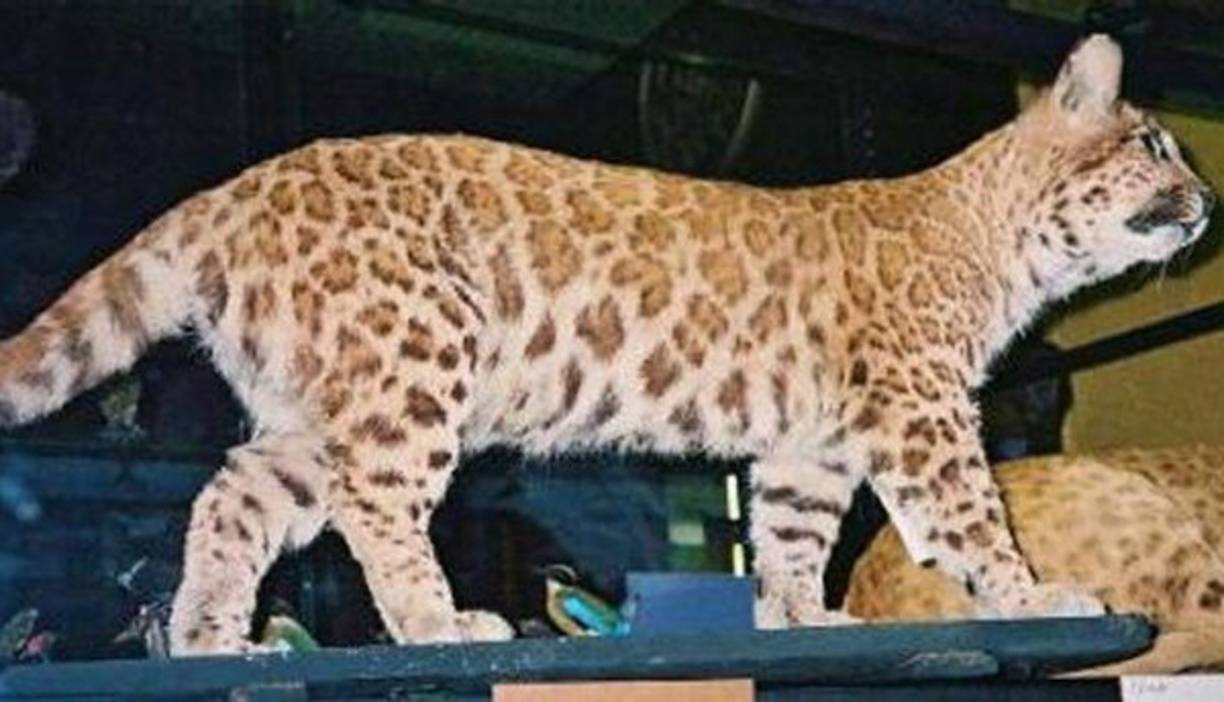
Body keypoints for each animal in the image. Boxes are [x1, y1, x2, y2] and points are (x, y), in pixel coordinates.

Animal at [0, 34, 1213, 655]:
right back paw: (441, 621)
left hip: (316, 398)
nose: (1207, 200)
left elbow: (791, 534)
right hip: (412, 360)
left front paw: (798, 618)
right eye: (1156, 145)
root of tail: (235, 187)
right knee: (374, 501)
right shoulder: (919, 412)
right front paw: (1033, 598)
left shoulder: (813, 444)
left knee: (239, 492)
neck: (1002, 245)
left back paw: (214, 634)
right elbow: (972, 518)